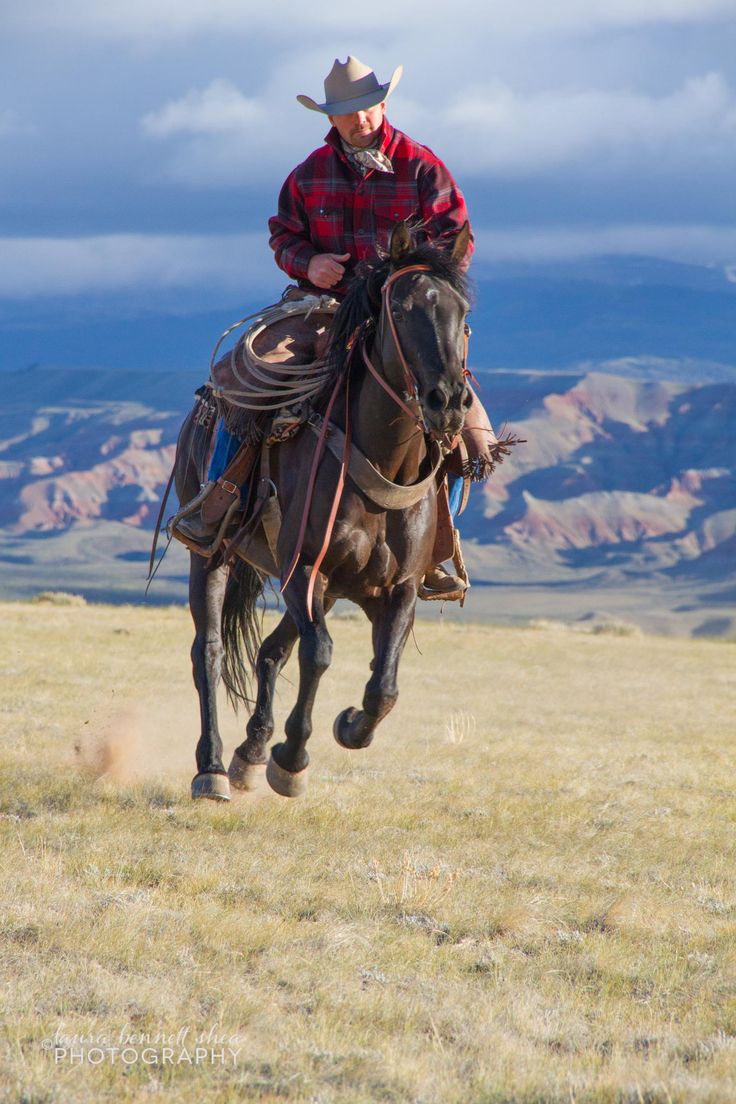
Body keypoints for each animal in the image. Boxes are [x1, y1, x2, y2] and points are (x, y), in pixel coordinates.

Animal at [174, 224, 472, 799]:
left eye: (463, 312)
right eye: (400, 310)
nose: (446, 400)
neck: (381, 463)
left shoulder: (398, 589)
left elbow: (384, 684)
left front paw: (348, 725)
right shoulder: (303, 571)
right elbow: (321, 654)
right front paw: (291, 759)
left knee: (270, 651)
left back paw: (248, 753)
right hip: (212, 552)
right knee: (210, 653)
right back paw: (213, 767)